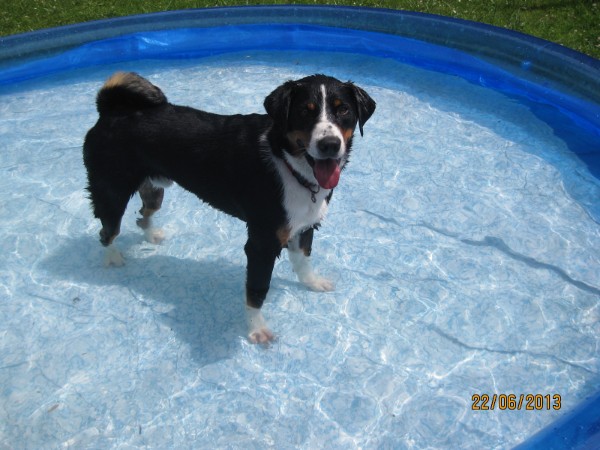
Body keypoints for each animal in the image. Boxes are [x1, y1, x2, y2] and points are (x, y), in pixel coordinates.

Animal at [83, 72, 376, 342]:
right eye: (306, 111)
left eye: (343, 110)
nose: (330, 145)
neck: (288, 163)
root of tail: (111, 111)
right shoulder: (262, 243)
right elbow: (257, 290)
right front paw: (257, 329)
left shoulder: (304, 224)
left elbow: (303, 259)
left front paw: (312, 282)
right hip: (111, 193)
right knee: (107, 231)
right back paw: (113, 257)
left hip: (155, 189)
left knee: (143, 215)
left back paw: (150, 234)